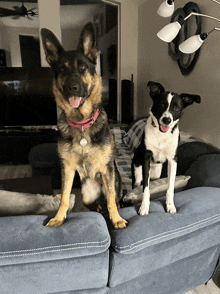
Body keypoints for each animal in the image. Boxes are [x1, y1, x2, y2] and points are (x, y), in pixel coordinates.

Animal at [131, 81, 200, 215]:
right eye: (161, 105)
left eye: (176, 108)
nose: (167, 120)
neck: (161, 134)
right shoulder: (146, 158)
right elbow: (145, 188)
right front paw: (144, 206)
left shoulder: (173, 160)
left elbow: (170, 186)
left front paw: (170, 205)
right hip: (137, 171)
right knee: (138, 184)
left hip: (157, 174)